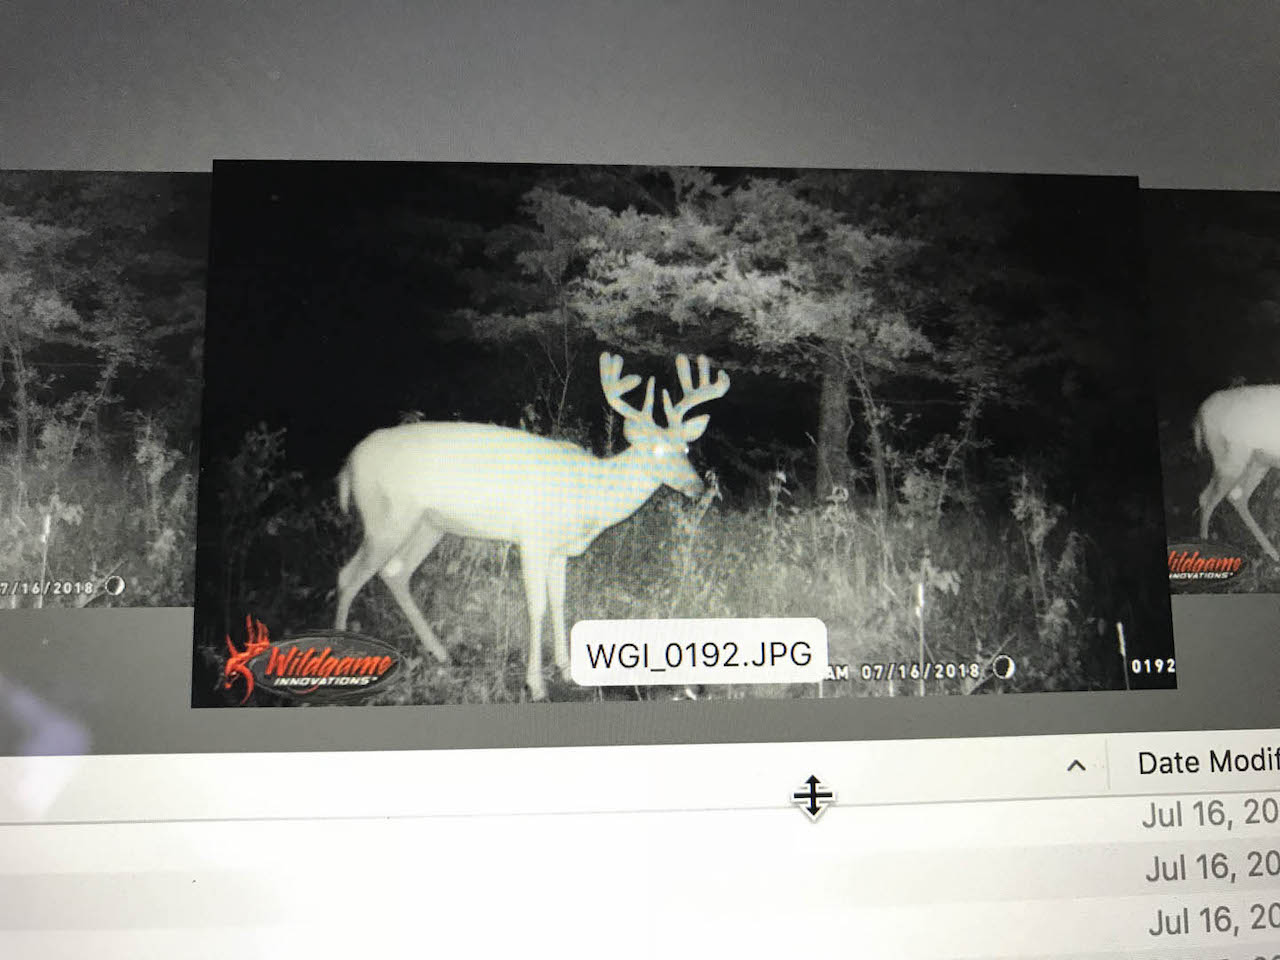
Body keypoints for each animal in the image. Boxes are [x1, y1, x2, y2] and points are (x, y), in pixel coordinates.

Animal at [333, 351, 731, 700]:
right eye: (656, 451)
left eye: (686, 449)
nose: (697, 487)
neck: (589, 493)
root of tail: (350, 461)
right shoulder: (533, 538)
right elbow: (536, 606)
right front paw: (535, 684)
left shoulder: (559, 550)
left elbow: (559, 601)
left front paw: (567, 670)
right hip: (386, 516)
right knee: (349, 575)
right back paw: (338, 652)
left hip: (428, 524)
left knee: (395, 572)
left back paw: (441, 652)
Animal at [1194, 384, 1280, 561]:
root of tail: (1200, 414)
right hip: (1232, 460)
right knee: (1210, 498)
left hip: (1257, 462)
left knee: (1231, 496)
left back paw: (1272, 552)